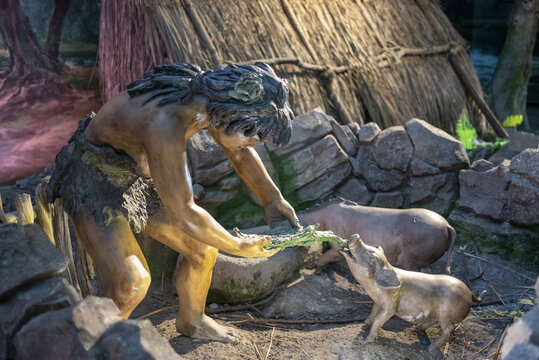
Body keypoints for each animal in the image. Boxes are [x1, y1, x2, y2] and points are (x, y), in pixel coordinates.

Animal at [342, 235, 486, 352]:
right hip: (439, 314)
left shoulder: (390, 306)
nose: (356, 236)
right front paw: (365, 323)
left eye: (371, 257)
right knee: (433, 321)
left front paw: (367, 341)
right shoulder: (378, 302)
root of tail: (470, 293)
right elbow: (372, 313)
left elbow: (379, 320)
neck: (373, 288)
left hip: (448, 315)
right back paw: (418, 328)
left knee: (448, 332)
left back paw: (430, 348)